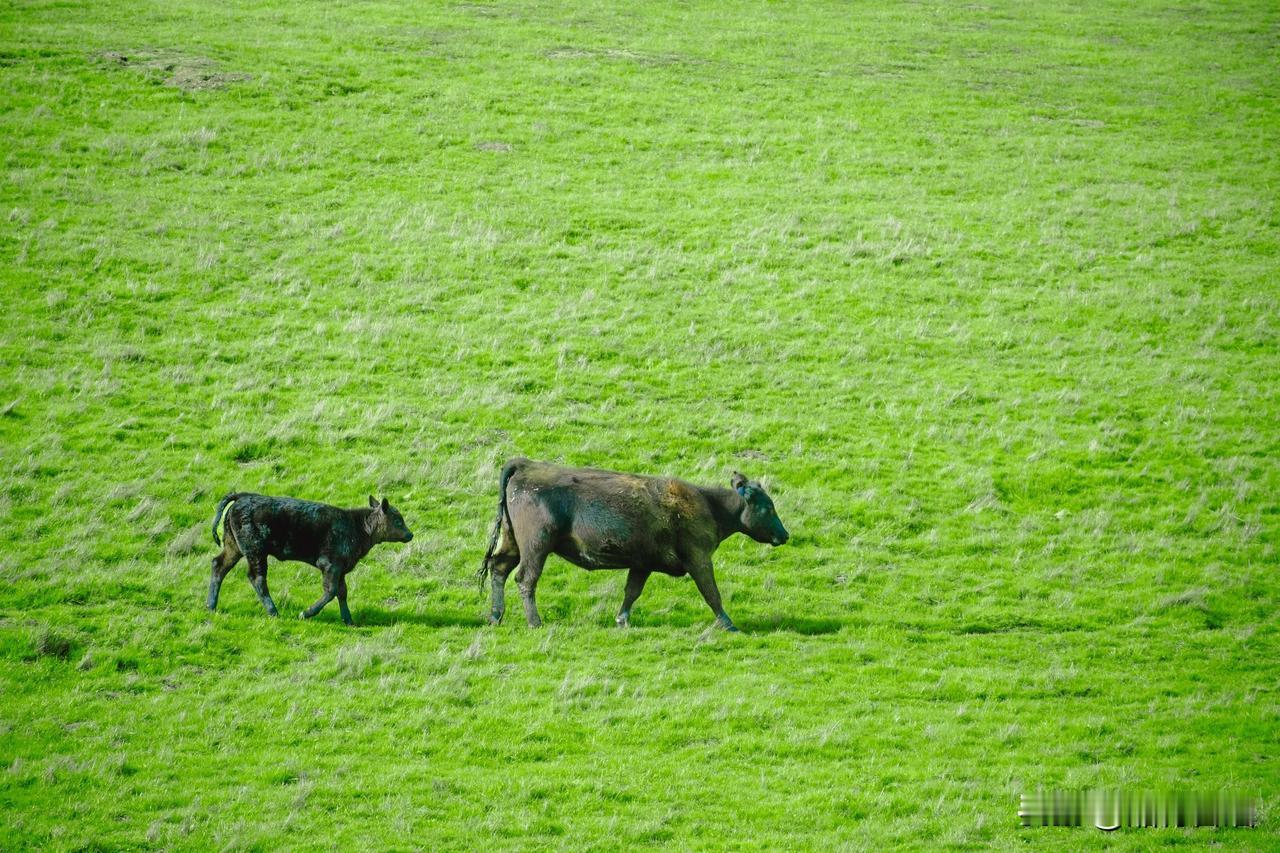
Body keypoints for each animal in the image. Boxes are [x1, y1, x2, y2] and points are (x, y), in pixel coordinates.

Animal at [476, 458, 783, 630]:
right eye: (768, 507)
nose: (785, 535)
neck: (709, 504)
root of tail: (525, 465)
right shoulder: (699, 558)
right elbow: (711, 592)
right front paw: (728, 623)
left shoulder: (642, 563)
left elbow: (632, 592)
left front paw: (622, 620)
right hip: (536, 547)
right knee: (525, 579)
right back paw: (534, 622)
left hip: (513, 542)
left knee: (498, 568)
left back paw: (495, 616)